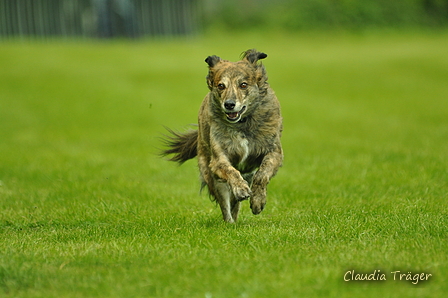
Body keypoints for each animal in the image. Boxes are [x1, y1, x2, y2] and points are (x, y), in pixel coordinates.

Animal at [162, 48, 284, 221]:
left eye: (243, 84)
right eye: (221, 86)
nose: (229, 104)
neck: (242, 123)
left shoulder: (274, 152)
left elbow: (262, 175)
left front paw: (257, 202)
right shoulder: (218, 159)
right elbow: (230, 171)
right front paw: (240, 189)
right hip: (211, 175)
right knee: (226, 204)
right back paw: (230, 222)